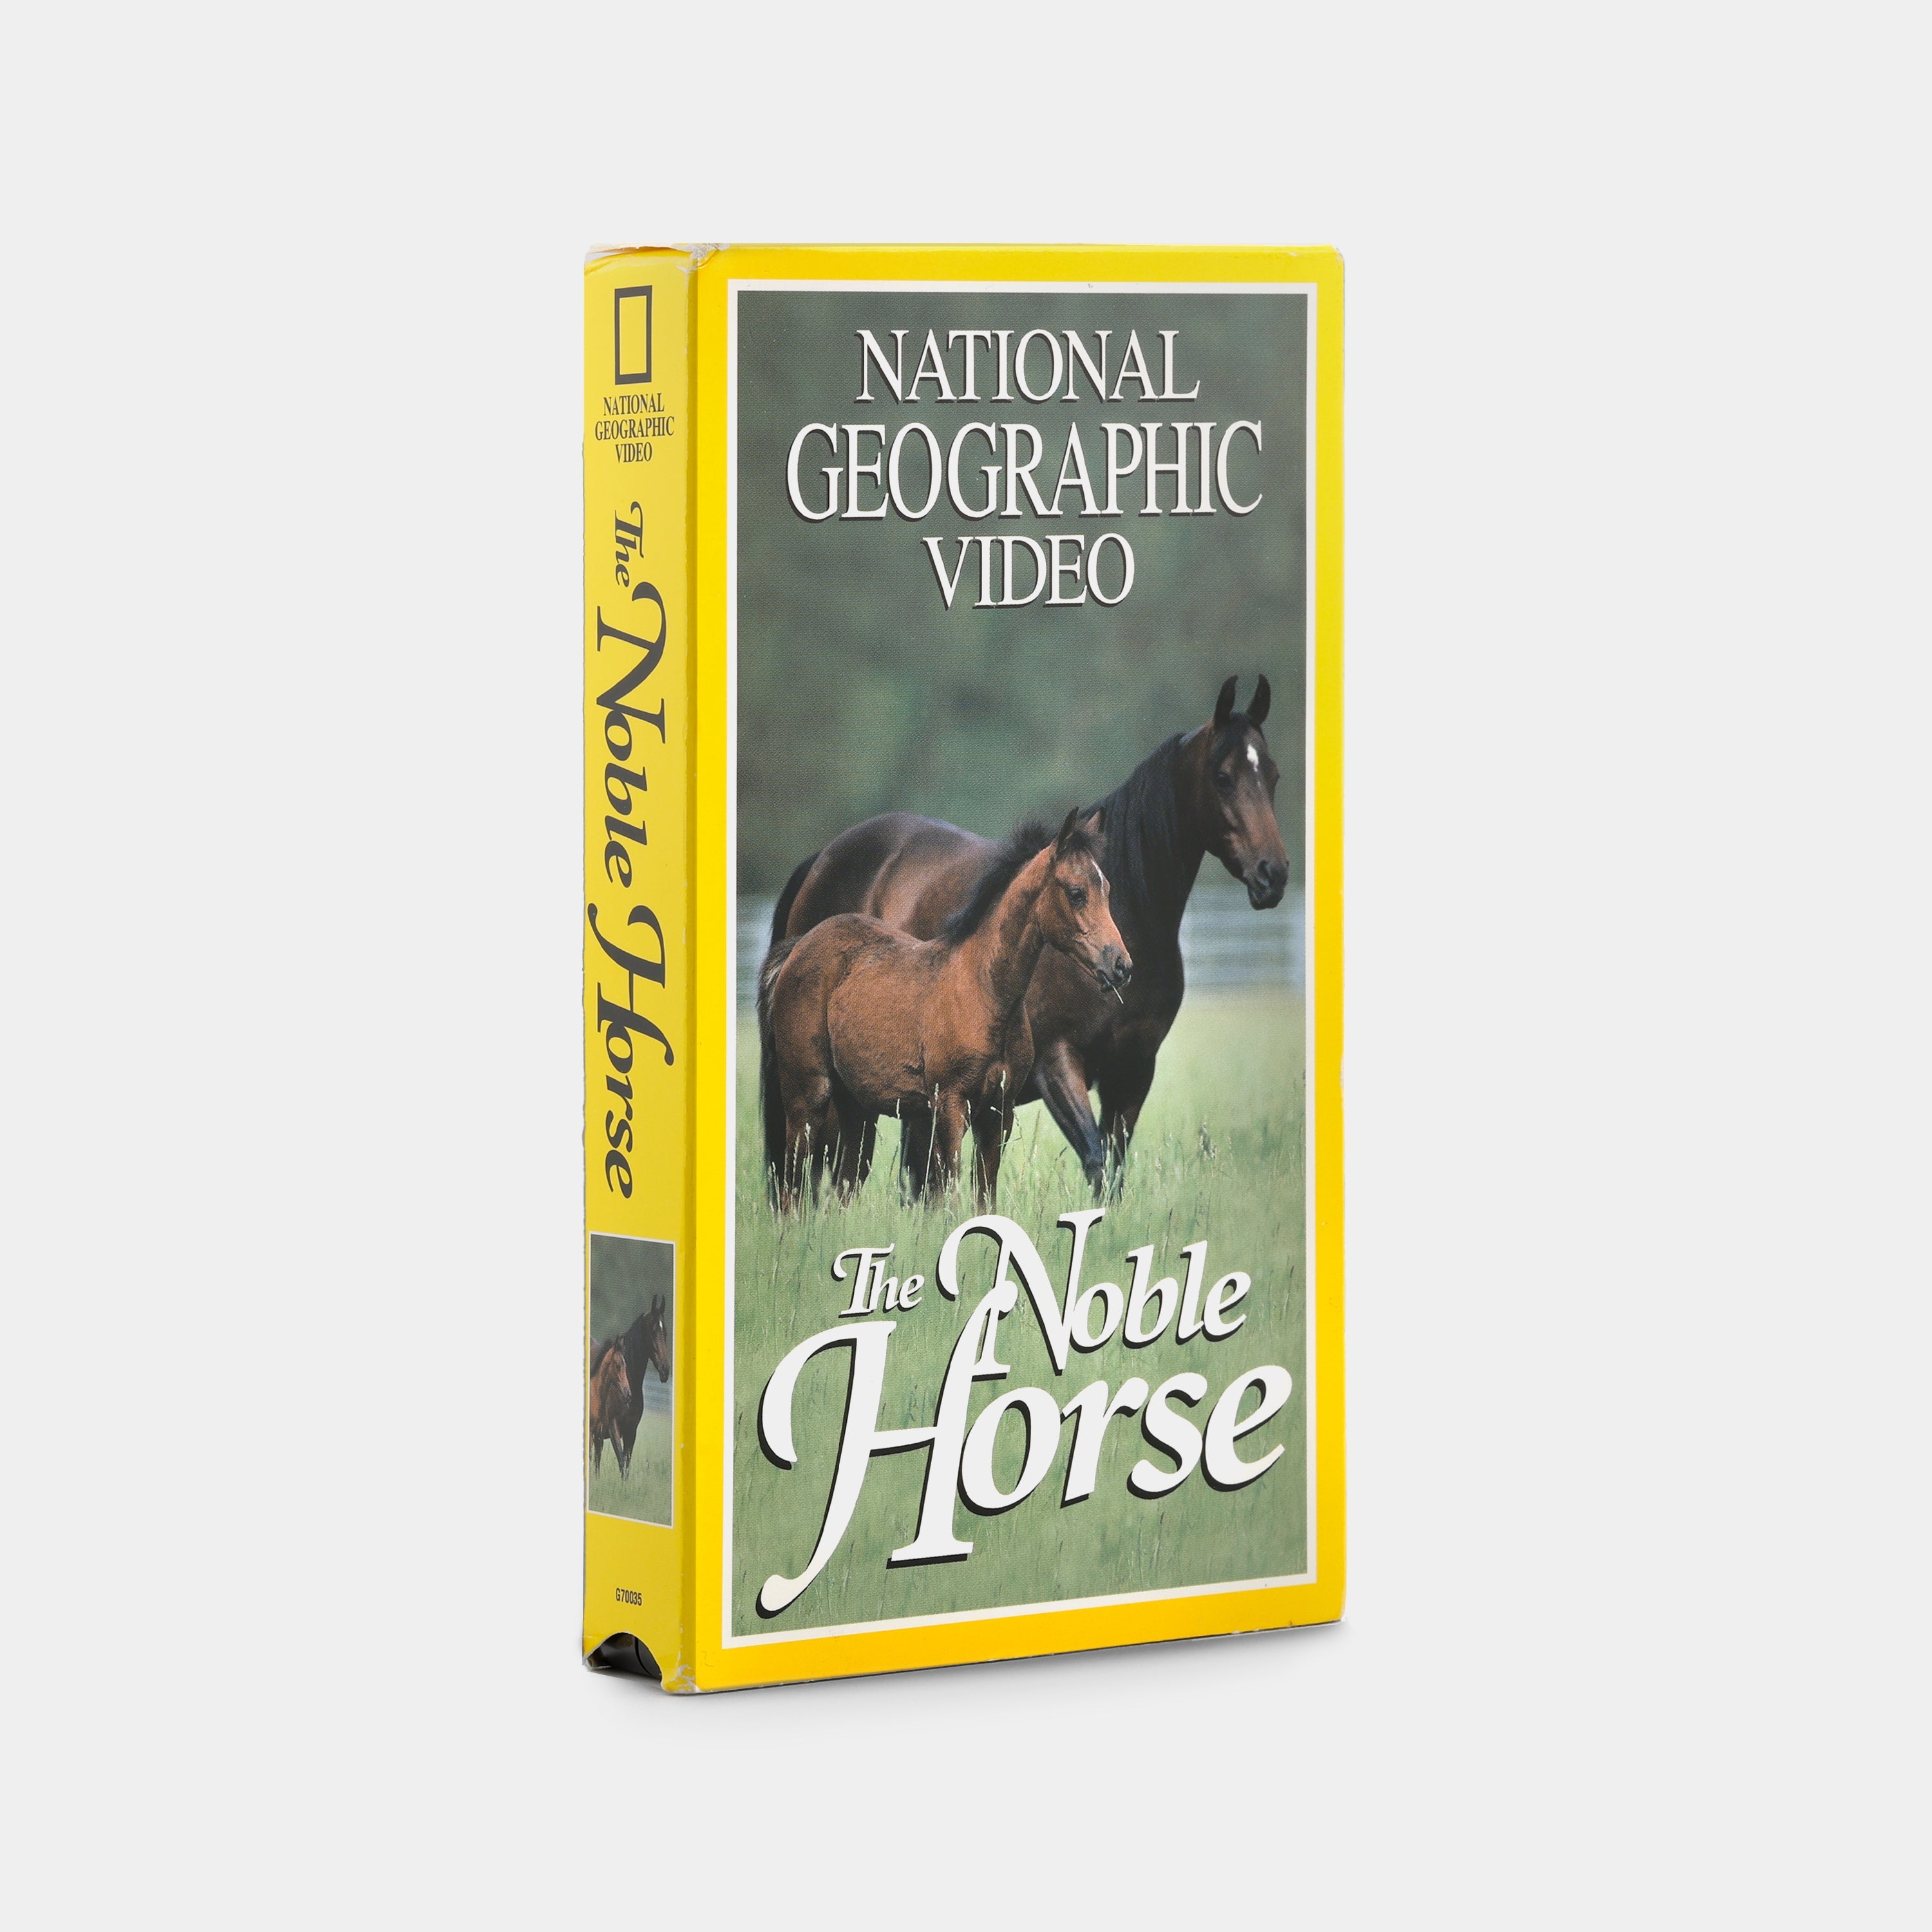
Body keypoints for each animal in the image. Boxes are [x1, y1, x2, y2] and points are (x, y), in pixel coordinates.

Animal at [587, 1342, 633, 1478]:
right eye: (618, 1365)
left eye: (626, 1365)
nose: (628, 1395)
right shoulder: (591, 1432)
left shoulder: (598, 1433)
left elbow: (596, 1460)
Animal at [759, 809, 1131, 1213]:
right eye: (1077, 893)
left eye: (1108, 890)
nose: (1121, 966)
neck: (986, 993)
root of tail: (797, 949)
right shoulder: (950, 1106)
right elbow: (947, 1196)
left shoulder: (998, 1114)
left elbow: (985, 1198)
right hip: (807, 1097)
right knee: (793, 1187)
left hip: (855, 1107)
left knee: (844, 1187)